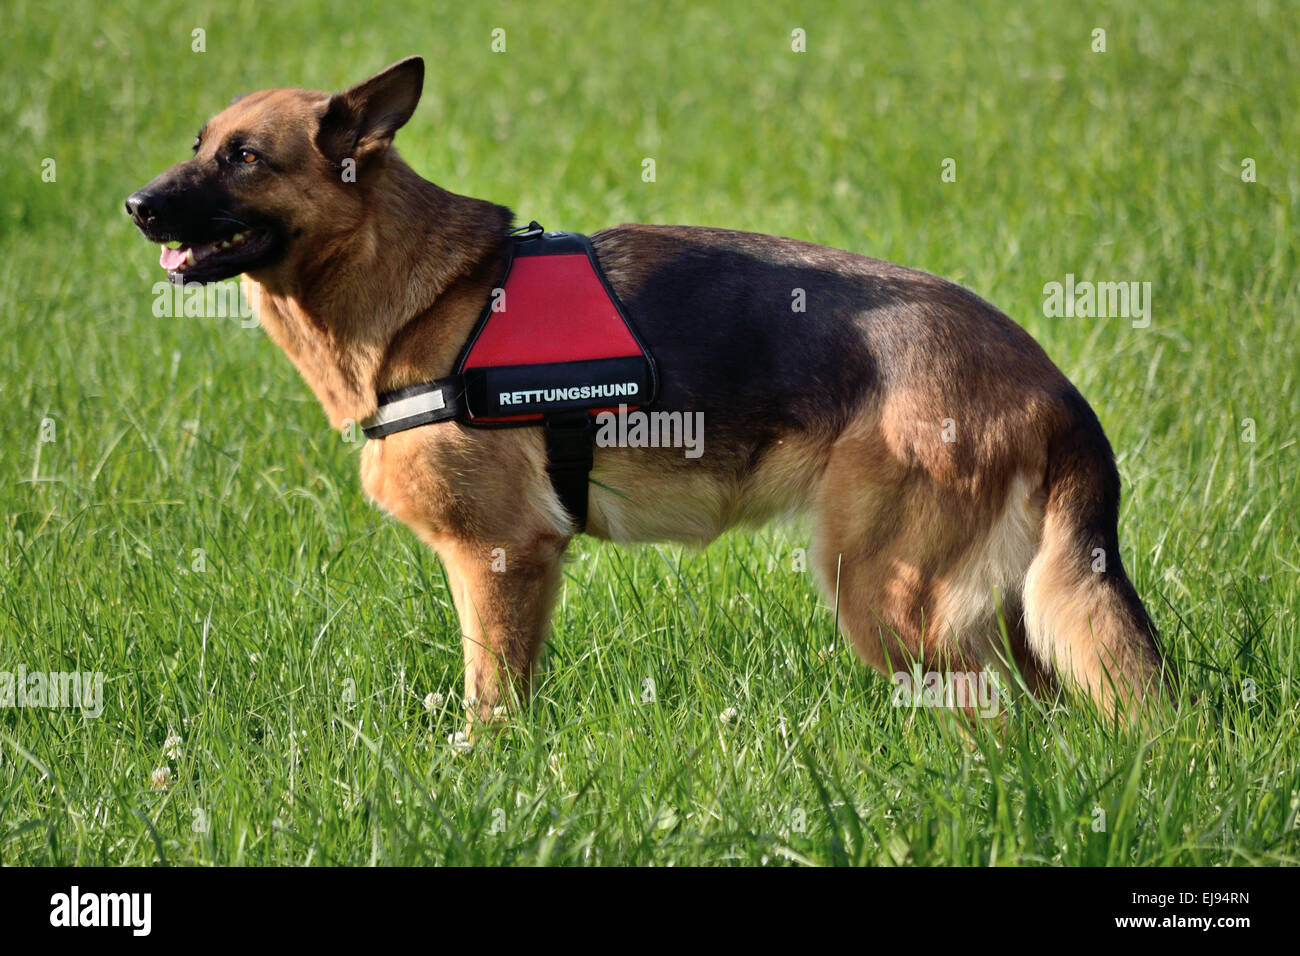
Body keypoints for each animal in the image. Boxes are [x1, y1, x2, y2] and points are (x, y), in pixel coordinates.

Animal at [126, 55, 1175, 728]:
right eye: (199, 143)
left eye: (245, 157)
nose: (135, 205)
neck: (427, 293)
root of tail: (1052, 385)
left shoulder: (502, 555)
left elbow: (490, 700)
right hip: (1000, 606)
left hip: (888, 597)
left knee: (997, 725)